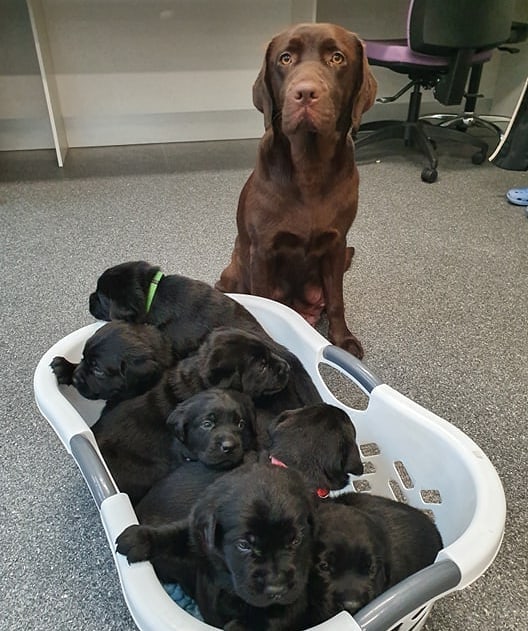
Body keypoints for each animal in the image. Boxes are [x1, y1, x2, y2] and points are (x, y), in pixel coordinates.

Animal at [117, 462, 316, 628]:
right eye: (243, 545)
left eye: (296, 540)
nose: (277, 590)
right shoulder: (199, 538)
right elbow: (176, 536)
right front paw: (140, 539)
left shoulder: (295, 600)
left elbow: (265, 620)